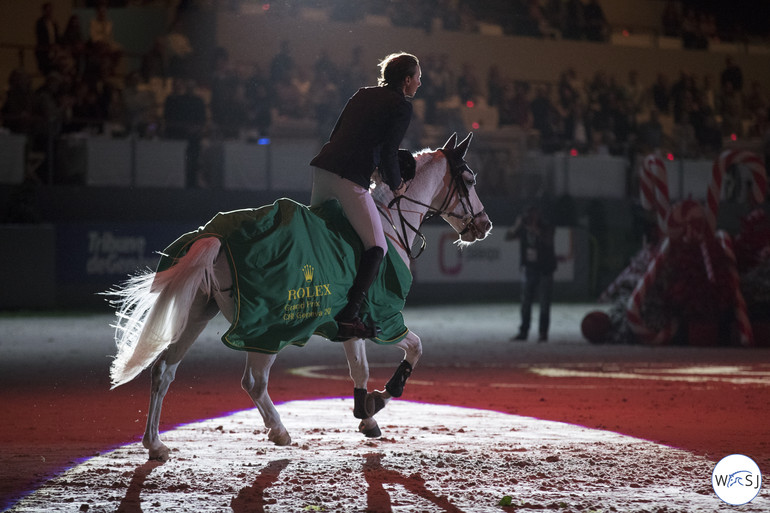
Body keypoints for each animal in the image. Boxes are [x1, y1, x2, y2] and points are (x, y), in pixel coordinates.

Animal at [106, 133, 492, 460]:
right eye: (470, 180)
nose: (485, 225)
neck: (390, 224)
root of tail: (216, 235)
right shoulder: (385, 319)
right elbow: (414, 350)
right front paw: (379, 400)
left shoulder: (351, 326)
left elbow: (359, 367)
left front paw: (365, 415)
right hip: (267, 327)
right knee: (253, 382)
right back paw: (279, 431)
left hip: (198, 313)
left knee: (163, 370)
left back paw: (155, 444)